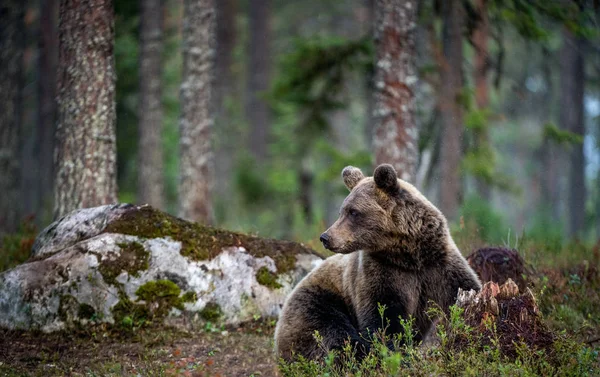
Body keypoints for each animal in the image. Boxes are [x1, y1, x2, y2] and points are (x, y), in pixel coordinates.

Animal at [274, 163, 480, 360]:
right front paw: (393, 354)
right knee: (332, 334)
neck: (408, 255)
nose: (326, 237)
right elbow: (383, 319)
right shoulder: (381, 272)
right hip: (318, 301)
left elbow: (465, 288)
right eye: (343, 211)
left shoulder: (438, 265)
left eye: (353, 212)